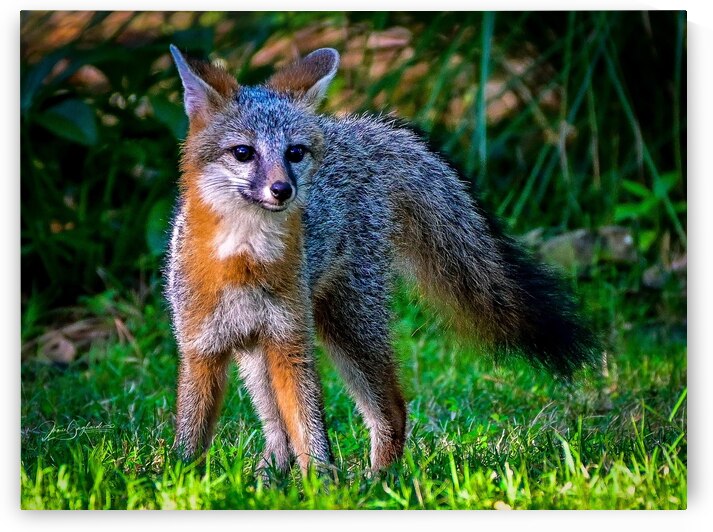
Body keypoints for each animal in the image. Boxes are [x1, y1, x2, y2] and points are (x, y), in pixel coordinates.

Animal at [165, 44, 598, 475]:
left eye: (294, 153)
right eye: (243, 153)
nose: (282, 189)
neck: (243, 261)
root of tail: (353, 130)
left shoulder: (292, 344)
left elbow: (311, 431)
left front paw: (323, 485)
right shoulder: (201, 350)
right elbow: (192, 436)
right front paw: (179, 476)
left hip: (347, 328)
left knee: (392, 411)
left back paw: (378, 482)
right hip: (262, 354)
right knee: (277, 429)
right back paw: (272, 474)